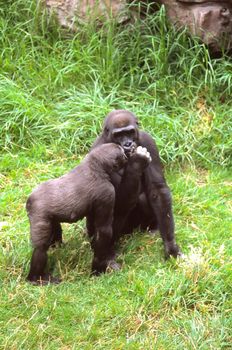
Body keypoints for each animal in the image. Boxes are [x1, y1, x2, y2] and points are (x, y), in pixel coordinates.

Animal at [87, 110, 181, 270]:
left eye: (130, 132)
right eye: (118, 135)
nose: (128, 144)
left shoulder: (148, 140)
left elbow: (157, 189)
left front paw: (170, 245)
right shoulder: (98, 153)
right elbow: (116, 202)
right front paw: (137, 163)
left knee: (143, 198)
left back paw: (153, 228)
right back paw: (108, 254)